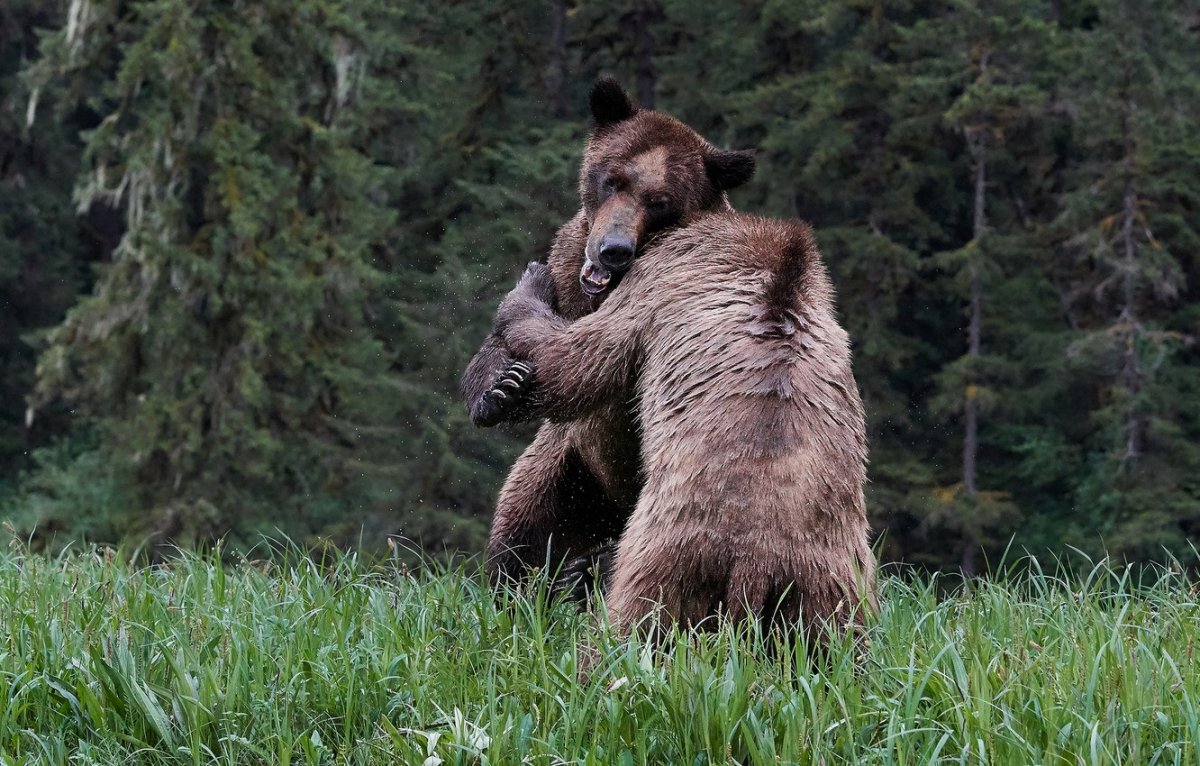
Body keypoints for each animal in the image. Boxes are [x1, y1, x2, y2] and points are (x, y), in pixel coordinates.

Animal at [458, 76, 748, 595]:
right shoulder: (565, 271)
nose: (613, 249)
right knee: (520, 531)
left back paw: (589, 567)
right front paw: (500, 389)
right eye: (613, 179)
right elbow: (504, 344)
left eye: (661, 203)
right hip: (570, 477)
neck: (600, 292)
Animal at [489, 156, 883, 643]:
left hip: (669, 553)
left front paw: (528, 287)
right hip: (830, 580)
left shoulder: (658, 286)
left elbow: (576, 360)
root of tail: (754, 562)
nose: (610, 251)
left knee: (636, 619)